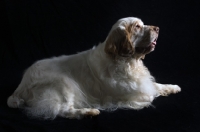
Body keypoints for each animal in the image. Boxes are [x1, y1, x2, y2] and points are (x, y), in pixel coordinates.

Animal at [7, 16, 181, 119]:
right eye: (137, 27)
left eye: (143, 24)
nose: (157, 28)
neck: (127, 62)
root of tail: (20, 86)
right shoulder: (130, 93)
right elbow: (149, 95)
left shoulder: (144, 82)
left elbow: (156, 85)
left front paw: (173, 87)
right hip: (63, 83)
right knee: (63, 110)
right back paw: (88, 111)